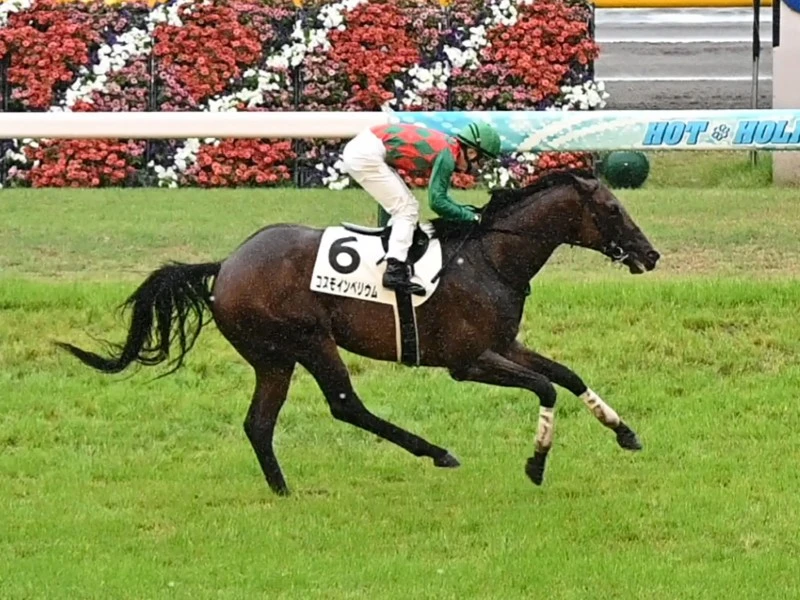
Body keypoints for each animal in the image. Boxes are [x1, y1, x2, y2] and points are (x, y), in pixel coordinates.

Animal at [56, 168, 661, 496]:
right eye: (612, 208)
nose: (650, 255)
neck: (490, 258)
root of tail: (225, 265)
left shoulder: (504, 344)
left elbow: (567, 375)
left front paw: (626, 432)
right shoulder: (468, 362)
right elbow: (545, 387)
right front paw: (535, 464)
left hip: (272, 357)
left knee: (259, 423)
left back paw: (283, 490)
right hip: (308, 339)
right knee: (346, 404)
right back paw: (436, 452)